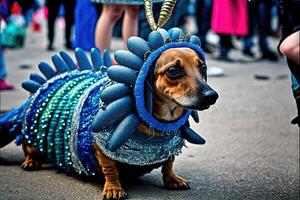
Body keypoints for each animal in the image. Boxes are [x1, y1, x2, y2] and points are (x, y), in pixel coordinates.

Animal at [21, 47, 218, 198]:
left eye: (203, 66)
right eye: (173, 70)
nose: (212, 96)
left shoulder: (169, 147)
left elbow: (169, 162)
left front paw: (172, 178)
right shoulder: (101, 147)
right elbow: (110, 169)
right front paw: (114, 188)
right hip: (30, 138)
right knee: (28, 149)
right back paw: (31, 161)